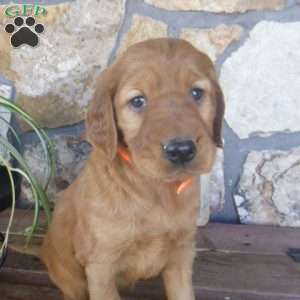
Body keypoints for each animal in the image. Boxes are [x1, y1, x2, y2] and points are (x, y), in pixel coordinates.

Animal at [39, 37, 224, 300]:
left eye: (196, 93)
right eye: (137, 101)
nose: (181, 150)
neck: (155, 187)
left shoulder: (182, 252)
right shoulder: (100, 264)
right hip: (69, 277)